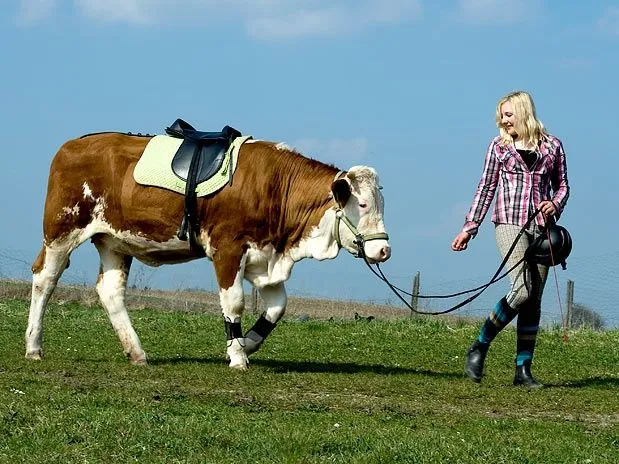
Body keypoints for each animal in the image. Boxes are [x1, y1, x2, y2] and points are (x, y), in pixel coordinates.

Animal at [26, 130, 392, 370]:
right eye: (361, 204)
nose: (384, 250)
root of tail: (73, 144)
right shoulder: (228, 248)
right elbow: (235, 303)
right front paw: (237, 355)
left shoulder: (265, 257)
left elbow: (277, 308)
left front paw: (247, 343)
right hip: (61, 231)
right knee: (45, 279)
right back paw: (33, 346)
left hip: (114, 241)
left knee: (110, 291)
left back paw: (137, 353)